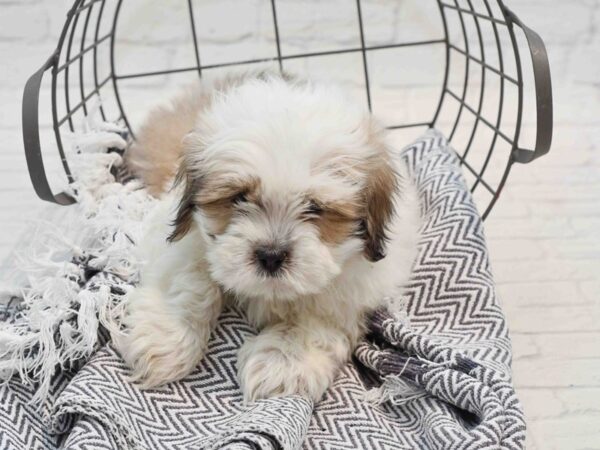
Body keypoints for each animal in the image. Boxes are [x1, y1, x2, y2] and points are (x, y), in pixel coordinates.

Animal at [119, 72, 420, 402]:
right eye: (239, 198)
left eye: (315, 208)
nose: (271, 255)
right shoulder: (184, 240)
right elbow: (191, 280)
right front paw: (166, 338)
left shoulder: (351, 291)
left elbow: (314, 318)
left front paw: (284, 361)